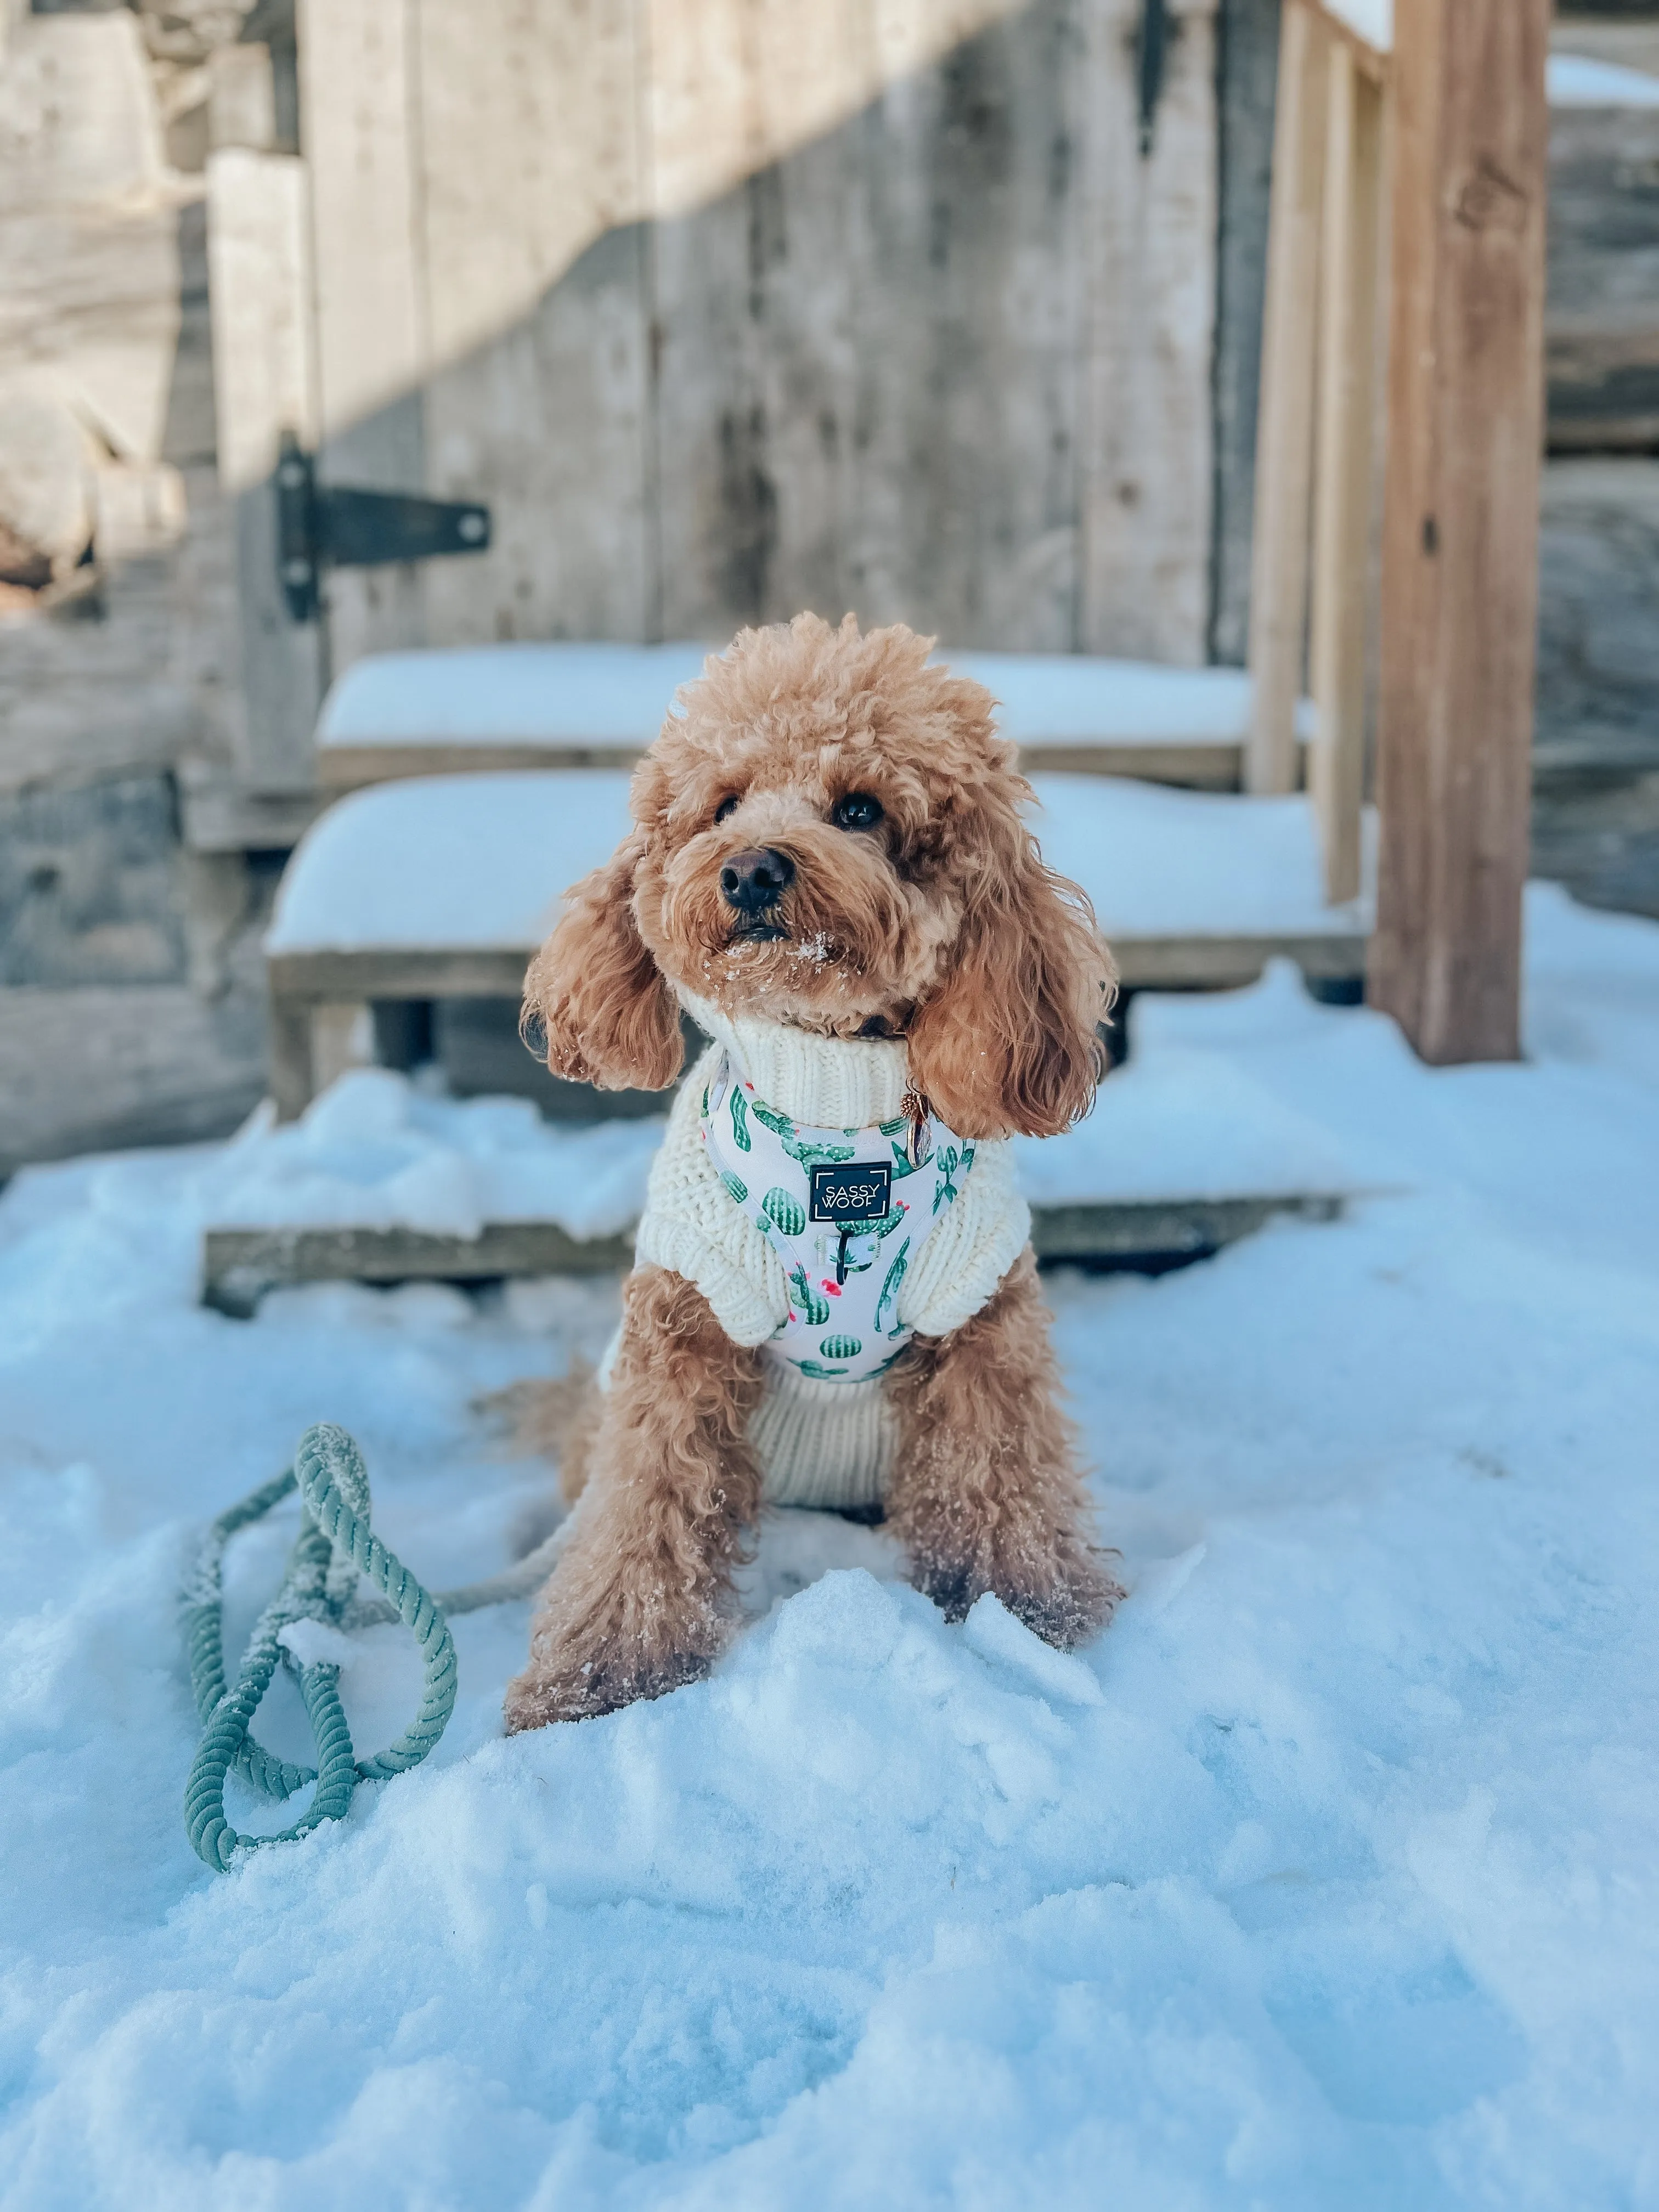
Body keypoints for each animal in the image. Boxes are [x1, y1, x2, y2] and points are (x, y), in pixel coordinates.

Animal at [506, 614, 1124, 1734]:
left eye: (860, 808)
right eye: (722, 804)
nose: (751, 869)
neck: (835, 1119)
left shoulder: (979, 1319)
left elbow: (1000, 1474)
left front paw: (1026, 1613)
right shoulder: (683, 1330)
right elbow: (642, 1512)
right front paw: (598, 1680)